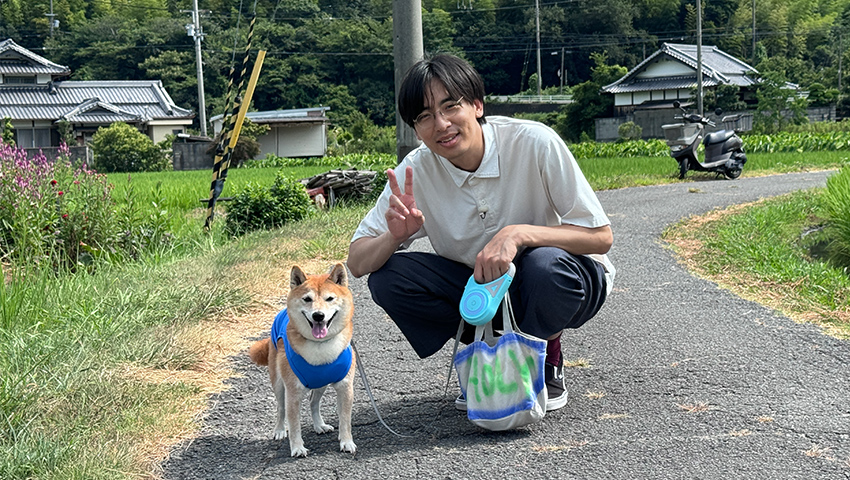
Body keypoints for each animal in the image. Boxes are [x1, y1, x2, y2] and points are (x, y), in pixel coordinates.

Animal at [247, 264, 356, 460]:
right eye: (307, 299)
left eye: (330, 298)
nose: (318, 315)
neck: (320, 346)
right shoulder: (293, 393)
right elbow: (294, 425)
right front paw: (297, 447)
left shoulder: (345, 387)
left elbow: (345, 420)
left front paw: (346, 442)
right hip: (279, 384)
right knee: (281, 409)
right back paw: (279, 430)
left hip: (321, 383)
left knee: (313, 402)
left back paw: (319, 425)